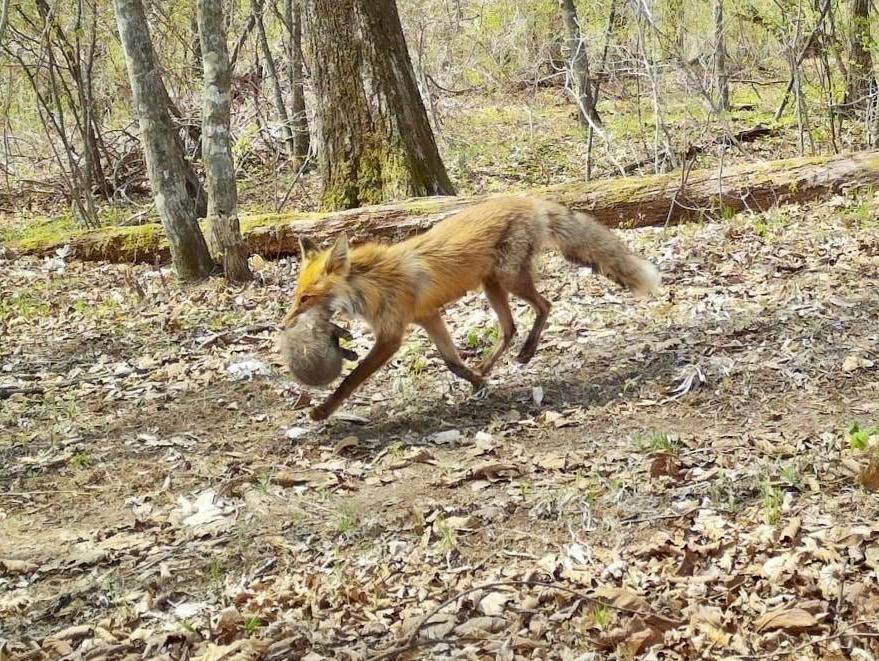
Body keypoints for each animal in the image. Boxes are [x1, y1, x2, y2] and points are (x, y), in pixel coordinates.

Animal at [284, 195, 660, 418]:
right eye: (296, 295)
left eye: (306, 298)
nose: (284, 324)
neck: (373, 283)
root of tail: (530, 200)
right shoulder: (428, 316)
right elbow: (452, 362)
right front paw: (478, 383)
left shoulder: (392, 336)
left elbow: (352, 379)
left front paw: (323, 411)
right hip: (492, 286)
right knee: (510, 328)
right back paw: (489, 366)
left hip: (509, 279)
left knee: (545, 305)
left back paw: (527, 352)